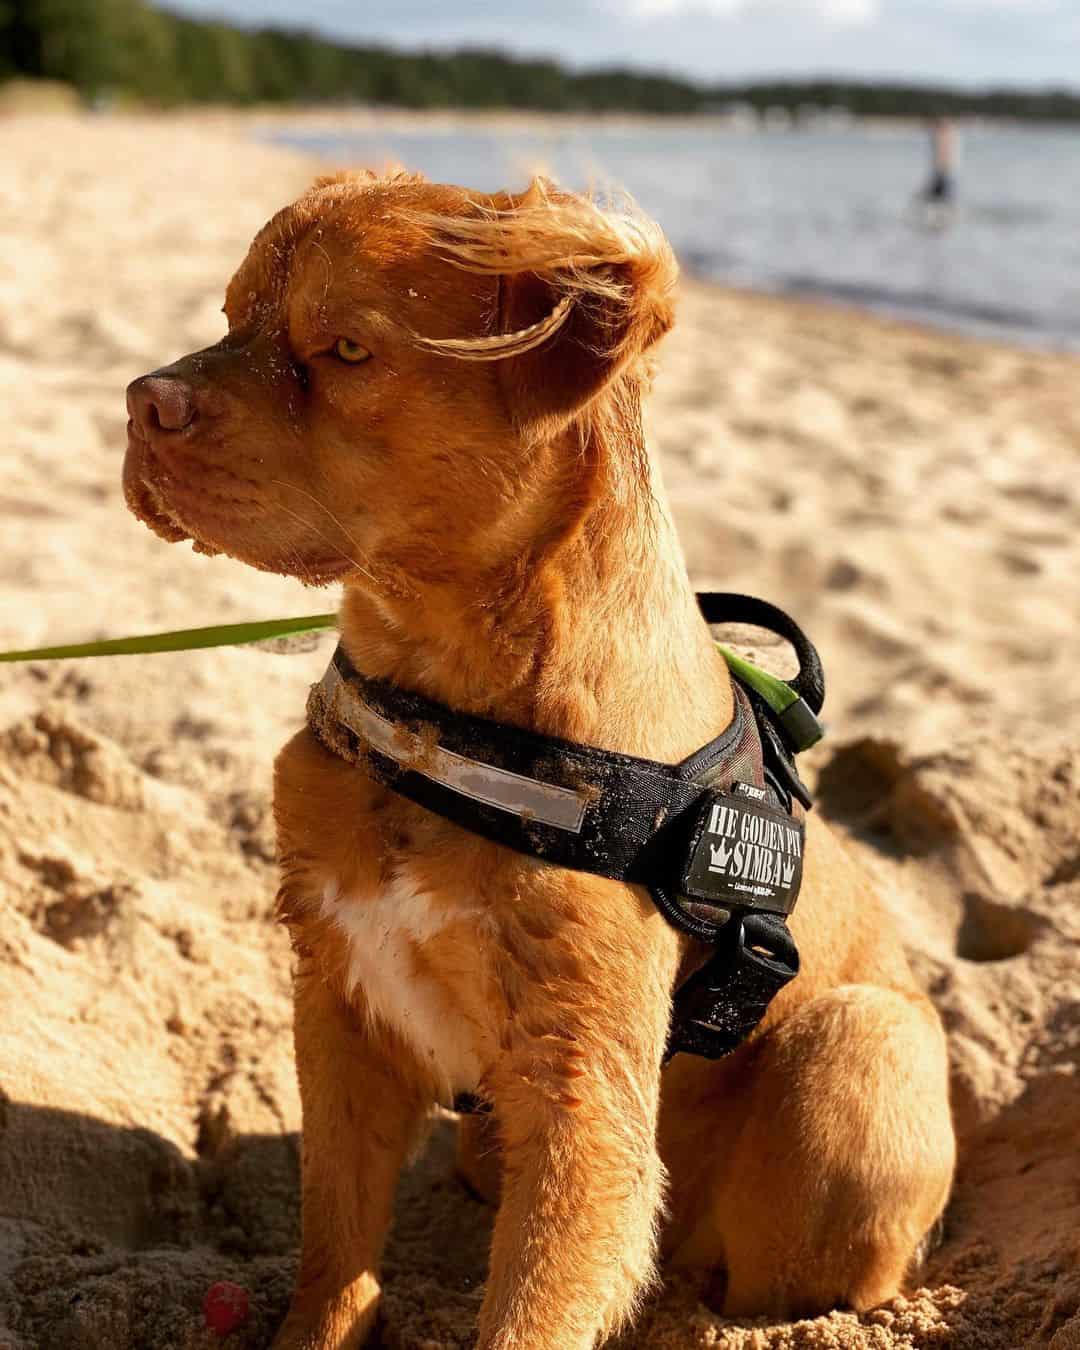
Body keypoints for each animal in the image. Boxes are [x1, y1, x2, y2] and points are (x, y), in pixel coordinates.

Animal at [122, 174, 955, 1350]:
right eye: (232, 315)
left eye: (346, 348)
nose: (142, 403)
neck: (441, 700)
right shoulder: (338, 1004)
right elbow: (335, 1251)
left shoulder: (581, 1094)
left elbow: (529, 1310)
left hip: (855, 1048)